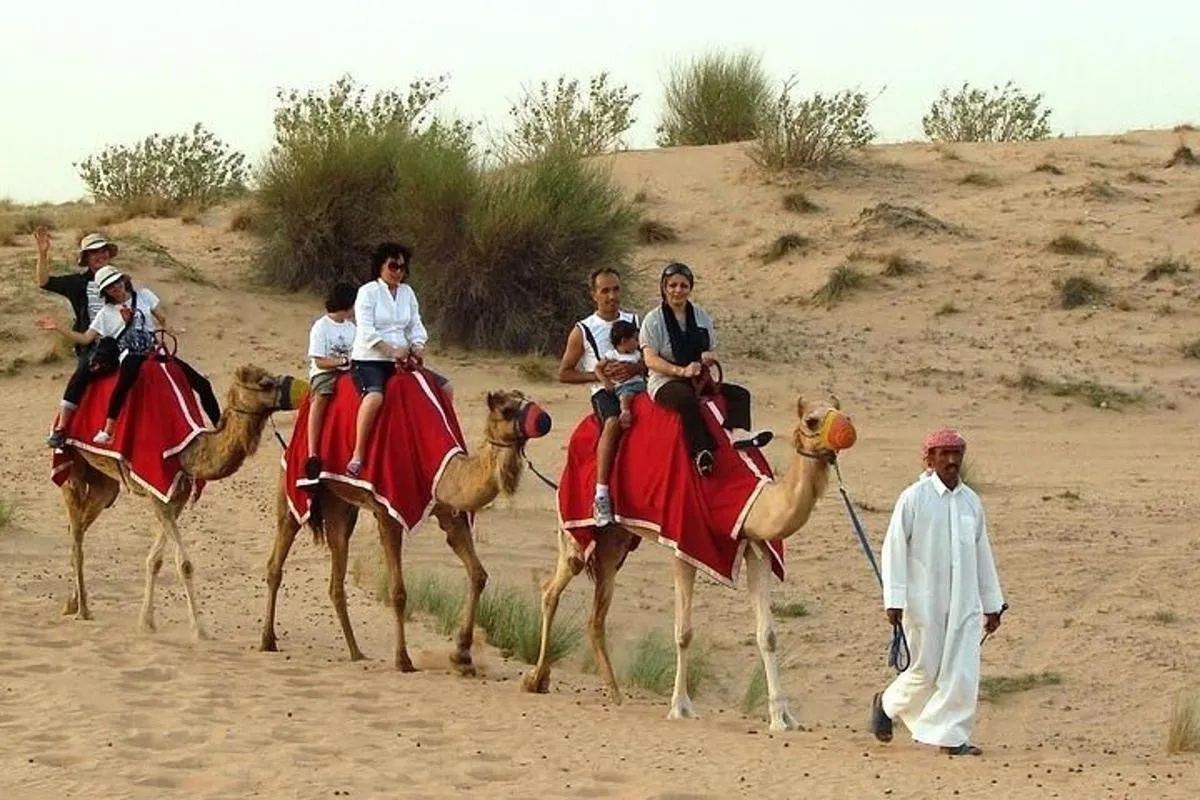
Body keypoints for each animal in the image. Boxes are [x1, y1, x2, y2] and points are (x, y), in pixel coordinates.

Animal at [56, 364, 306, 639]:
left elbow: (155, 560)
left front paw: (147, 622)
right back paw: (83, 610)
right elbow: (184, 563)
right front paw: (200, 630)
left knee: (80, 525)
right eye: (264, 383)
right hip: (73, 466)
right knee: (76, 532)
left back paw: (72, 603)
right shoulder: (158, 494)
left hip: (105, 485)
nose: (303, 389)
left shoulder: (177, 498)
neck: (188, 451)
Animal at [259, 389, 550, 677]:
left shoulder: (449, 512)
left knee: (336, 578)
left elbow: (478, 575)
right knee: (277, 560)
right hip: (292, 487)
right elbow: (398, 591)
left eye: (525, 399)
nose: (544, 420)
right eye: (507, 410)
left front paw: (462, 657)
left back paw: (356, 653)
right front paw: (403, 660)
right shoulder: (389, 514)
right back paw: (267, 641)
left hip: (339, 505)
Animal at [522, 395, 856, 732]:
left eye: (842, 413)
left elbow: (768, 635)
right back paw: (536, 679)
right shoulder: (685, 544)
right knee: (553, 587)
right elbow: (684, 632)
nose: (847, 431)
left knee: (596, 614)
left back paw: (614, 693)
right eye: (812, 420)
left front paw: (782, 718)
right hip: (576, 525)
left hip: (614, 542)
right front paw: (680, 708)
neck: (744, 496)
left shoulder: (757, 545)